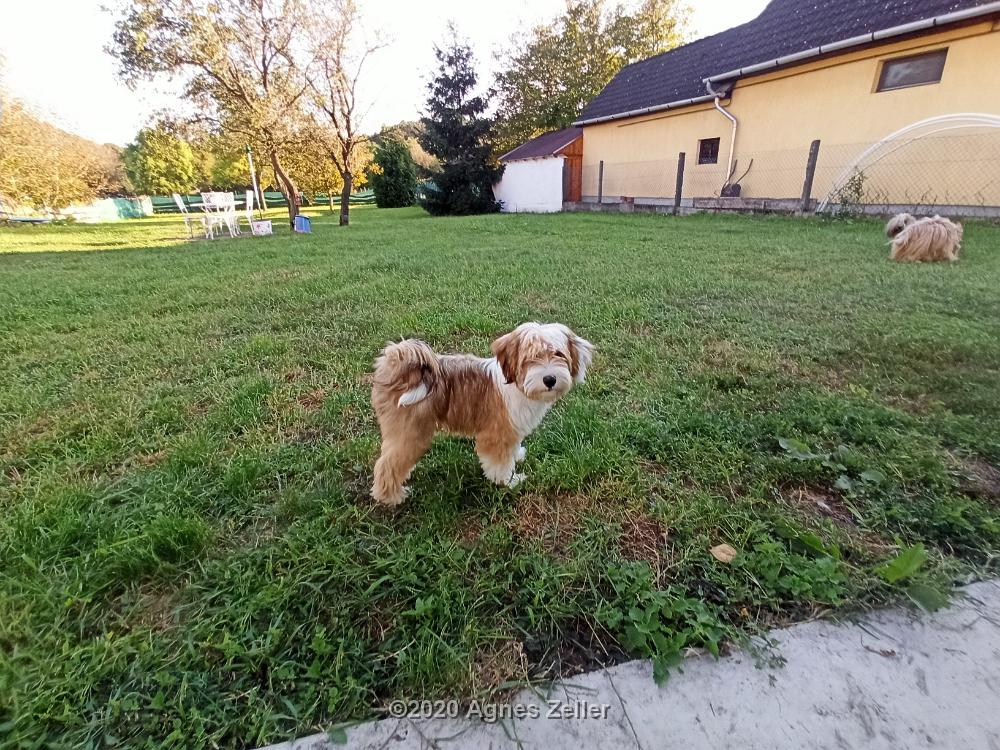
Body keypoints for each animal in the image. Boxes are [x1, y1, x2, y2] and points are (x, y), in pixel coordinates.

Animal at [374, 322, 592, 506]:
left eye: (559, 354)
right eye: (531, 358)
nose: (549, 379)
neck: (518, 385)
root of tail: (396, 364)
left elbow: (512, 448)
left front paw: (517, 455)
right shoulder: (496, 434)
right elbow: (499, 462)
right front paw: (508, 481)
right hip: (411, 432)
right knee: (387, 464)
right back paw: (391, 496)